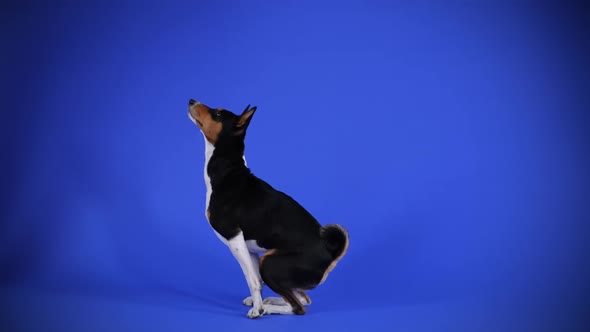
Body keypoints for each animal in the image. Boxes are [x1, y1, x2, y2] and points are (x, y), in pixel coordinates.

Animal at [187, 99, 350, 320]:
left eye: (218, 114)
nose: (191, 101)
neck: (228, 173)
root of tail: (329, 254)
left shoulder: (235, 238)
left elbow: (253, 280)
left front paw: (257, 310)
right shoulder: (249, 248)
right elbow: (258, 282)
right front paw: (258, 302)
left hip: (270, 262)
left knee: (298, 307)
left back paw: (267, 308)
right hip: (272, 264)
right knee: (302, 298)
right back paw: (270, 301)